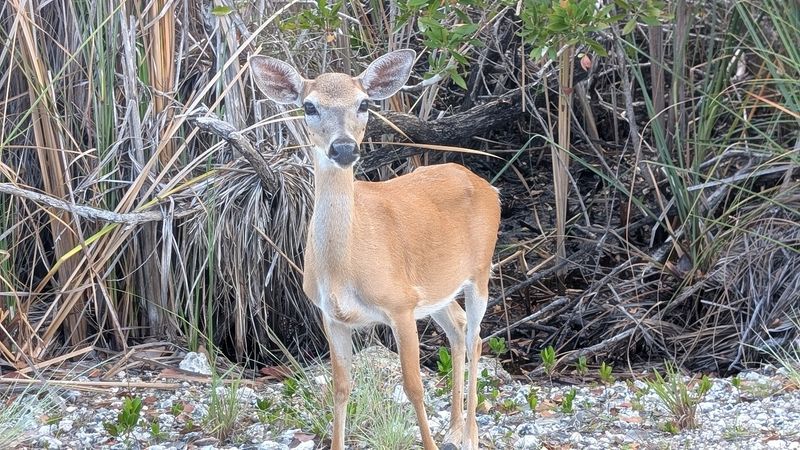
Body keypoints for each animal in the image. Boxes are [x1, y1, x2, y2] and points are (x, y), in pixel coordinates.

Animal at [248, 49, 501, 450]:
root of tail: (488, 187)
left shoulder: (399, 305)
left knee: (476, 338)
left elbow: (414, 387)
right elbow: (340, 388)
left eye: (364, 103)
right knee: (459, 327)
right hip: (437, 290)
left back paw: (471, 435)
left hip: (480, 270)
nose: (344, 148)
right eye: (308, 106)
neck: (343, 268)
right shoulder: (332, 316)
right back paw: (454, 429)